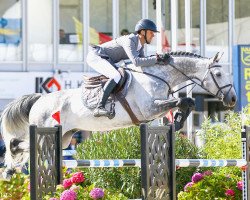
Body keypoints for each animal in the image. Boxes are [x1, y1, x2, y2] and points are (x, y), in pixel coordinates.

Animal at [0, 51, 236, 178]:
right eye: (218, 74)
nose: (232, 99)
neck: (158, 76)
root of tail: (39, 99)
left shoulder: (154, 110)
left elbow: (186, 102)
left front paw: (177, 121)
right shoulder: (150, 108)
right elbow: (183, 100)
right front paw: (178, 120)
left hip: (65, 137)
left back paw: (12, 169)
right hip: (46, 130)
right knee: (18, 144)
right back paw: (10, 167)